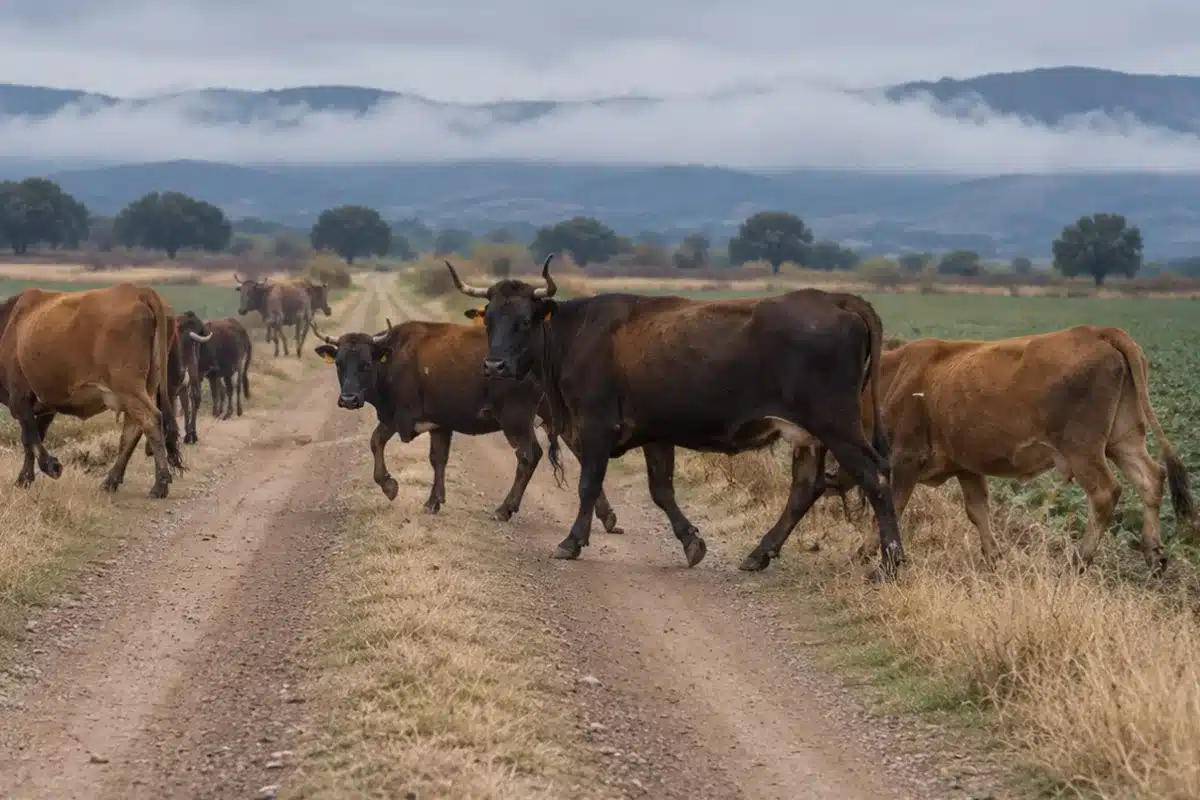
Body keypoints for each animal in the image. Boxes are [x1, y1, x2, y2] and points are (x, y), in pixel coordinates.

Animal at [0, 283, 184, 497]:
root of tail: (138, 290)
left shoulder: (19, 396)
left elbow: (30, 437)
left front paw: (50, 467)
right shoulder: (46, 403)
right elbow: (32, 439)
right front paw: (25, 478)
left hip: (128, 387)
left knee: (151, 420)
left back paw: (160, 483)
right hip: (145, 386)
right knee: (133, 429)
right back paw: (111, 480)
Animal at [310, 317, 625, 532]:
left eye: (365, 363)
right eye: (338, 363)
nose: (349, 399)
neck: (394, 357)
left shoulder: (401, 418)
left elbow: (375, 440)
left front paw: (390, 486)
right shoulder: (440, 423)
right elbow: (438, 459)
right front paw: (433, 501)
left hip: (516, 419)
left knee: (529, 456)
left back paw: (505, 509)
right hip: (558, 417)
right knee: (583, 455)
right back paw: (607, 516)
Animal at [444, 255, 905, 577]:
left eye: (525, 320)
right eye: (491, 321)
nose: (494, 366)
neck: (576, 333)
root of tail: (834, 298)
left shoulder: (596, 426)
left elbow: (588, 485)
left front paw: (572, 541)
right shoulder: (656, 433)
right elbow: (662, 491)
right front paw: (691, 543)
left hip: (837, 424)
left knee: (877, 476)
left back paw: (891, 563)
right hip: (809, 435)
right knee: (804, 489)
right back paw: (759, 554)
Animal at [827, 328, 1195, 576]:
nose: (828, 475)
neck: (894, 378)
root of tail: (1097, 332)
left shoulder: (905, 459)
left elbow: (891, 506)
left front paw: (867, 553)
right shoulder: (966, 466)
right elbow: (978, 511)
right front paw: (994, 558)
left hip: (1083, 449)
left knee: (1106, 493)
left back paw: (1077, 561)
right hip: (1124, 440)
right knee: (1151, 479)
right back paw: (1154, 555)